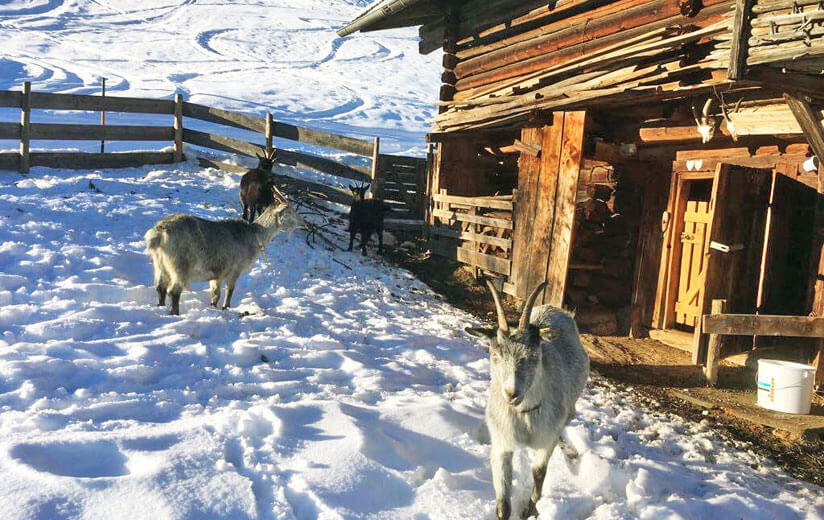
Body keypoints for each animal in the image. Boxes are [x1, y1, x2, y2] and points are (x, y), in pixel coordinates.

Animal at [145, 188, 306, 316]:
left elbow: (215, 294)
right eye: (290, 211)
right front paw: (226, 308)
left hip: (159, 265)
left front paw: (213, 307)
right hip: (180, 266)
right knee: (174, 291)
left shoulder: (217, 274)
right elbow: (229, 291)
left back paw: (160, 307)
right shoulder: (234, 270)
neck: (255, 235)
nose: (304, 223)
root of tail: (158, 234)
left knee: (160, 288)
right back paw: (175, 313)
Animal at [466, 282, 588, 516]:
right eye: (495, 354)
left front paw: (529, 510)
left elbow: (538, 471)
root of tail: (553, 307)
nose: (511, 393)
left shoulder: (547, 438)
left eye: (533, 355)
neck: (525, 415)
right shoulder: (502, 443)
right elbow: (503, 502)